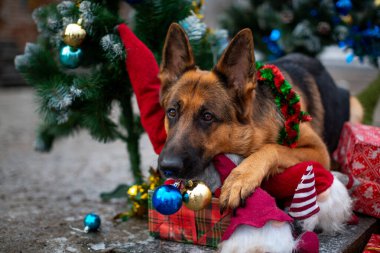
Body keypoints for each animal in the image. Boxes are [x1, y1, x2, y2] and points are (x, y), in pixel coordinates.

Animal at [157, 23, 360, 251]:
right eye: (172, 112)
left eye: (207, 116)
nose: (168, 167)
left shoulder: (318, 151)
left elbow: (271, 148)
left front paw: (240, 178)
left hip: (354, 106)